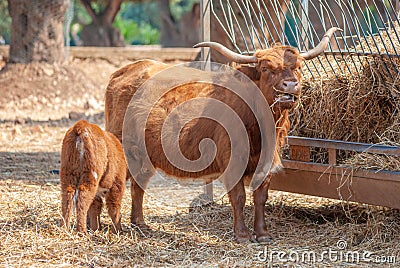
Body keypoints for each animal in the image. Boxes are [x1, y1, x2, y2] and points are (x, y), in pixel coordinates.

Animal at [104, 27, 340, 243]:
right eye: (265, 68)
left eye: (298, 67)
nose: (290, 85)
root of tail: (128, 69)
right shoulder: (232, 160)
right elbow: (239, 197)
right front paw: (242, 235)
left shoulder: (266, 162)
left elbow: (260, 196)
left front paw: (263, 234)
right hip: (125, 147)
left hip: (146, 155)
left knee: (139, 182)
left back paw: (140, 223)